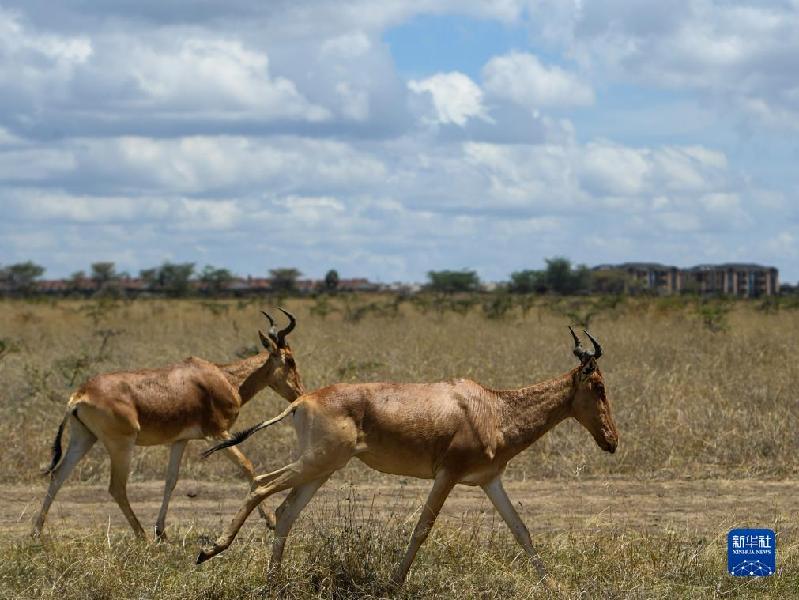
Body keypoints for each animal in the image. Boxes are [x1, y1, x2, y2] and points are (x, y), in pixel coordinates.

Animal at [33, 310, 304, 540]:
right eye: (290, 360)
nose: (299, 394)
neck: (223, 377)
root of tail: (80, 395)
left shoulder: (180, 440)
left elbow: (170, 481)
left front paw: (161, 531)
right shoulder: (218, 434)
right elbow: (248, 466)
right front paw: (270, 521)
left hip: (84, 438)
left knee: (58, 476)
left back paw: (37, 533)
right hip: (121, 444)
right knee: (116, 487)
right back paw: (141, 535)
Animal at [195, 328, 620, 584]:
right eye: (597, 386)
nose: (612, 441)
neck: (490, 407)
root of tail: (301, 401)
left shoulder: (489, 481)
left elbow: (521, 529)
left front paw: (552, 582)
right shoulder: (447, 475)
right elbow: (422, 528)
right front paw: (395, 582)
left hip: (321, 468)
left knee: (285, 510)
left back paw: (273, 582)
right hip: (318, 462)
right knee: (262, 485)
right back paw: (210, 550)